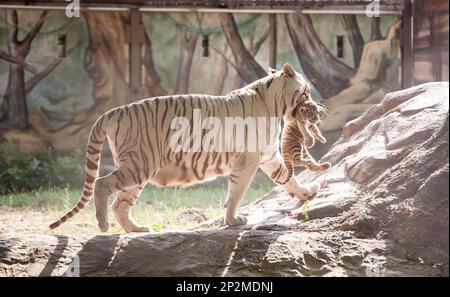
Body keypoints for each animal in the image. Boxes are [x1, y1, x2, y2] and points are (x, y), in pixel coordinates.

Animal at [49, 63, 322, 232]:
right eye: (306, 91)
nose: (315, 104)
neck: (275, 104)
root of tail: (112, 111)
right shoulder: (248, 161)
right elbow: (236, 193)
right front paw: (233, 220)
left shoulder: (269, 156)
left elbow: (288, 178)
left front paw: (307, 193)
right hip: (139, 165)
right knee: (100, 184)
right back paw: (103, 224)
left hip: (137, 170)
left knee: (120, 204)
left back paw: (137, 230)